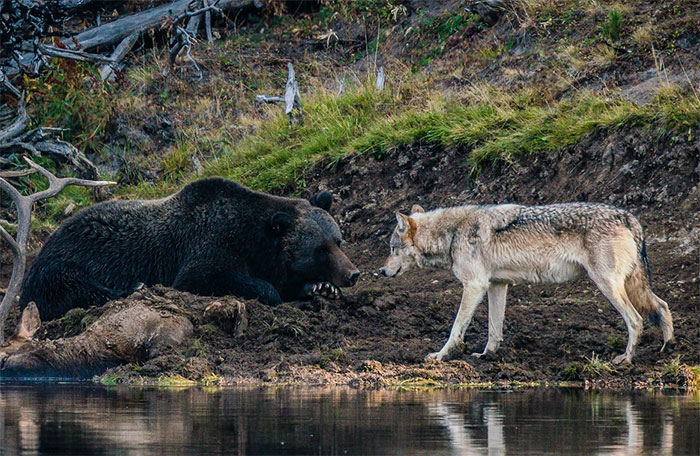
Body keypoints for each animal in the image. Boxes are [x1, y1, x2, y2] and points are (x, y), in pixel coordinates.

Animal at [21, 176, 360, 318]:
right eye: (320, 249)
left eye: (337, 240)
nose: (353, 274)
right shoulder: (208, 246)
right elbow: (205, 277)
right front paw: (272, 292)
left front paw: (319, 288)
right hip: (65, 261)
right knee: (74, 287)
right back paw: (133, 287)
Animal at [380, 202, 676, 364]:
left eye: (393, 249)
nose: (381, 270)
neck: (453, 233)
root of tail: (628, 216)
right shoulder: (496, 285)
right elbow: (494, 329)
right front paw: (487, 356)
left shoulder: (474, 285)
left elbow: (456, 329)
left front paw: (440, 356)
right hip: (630, 285)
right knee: (662, 306)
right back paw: (668, 350)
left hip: (607, 286)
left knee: (636, 319)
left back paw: (626, 359)